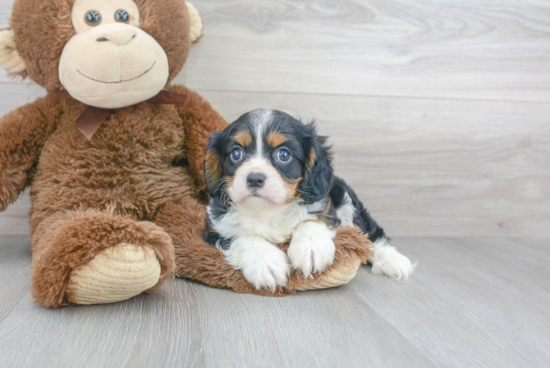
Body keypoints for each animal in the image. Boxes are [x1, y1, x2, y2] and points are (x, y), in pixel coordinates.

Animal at [205, 108, 416, 292]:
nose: (255, 178)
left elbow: (311, 219)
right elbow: (240, 236)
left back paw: (392, 260)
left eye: (283, 154)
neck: (269, 211)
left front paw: (311, 248)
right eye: (236, 153)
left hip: (345, 196)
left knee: (370, 232)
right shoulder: (215, 226)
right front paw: (265, 262)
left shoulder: (324, 203)